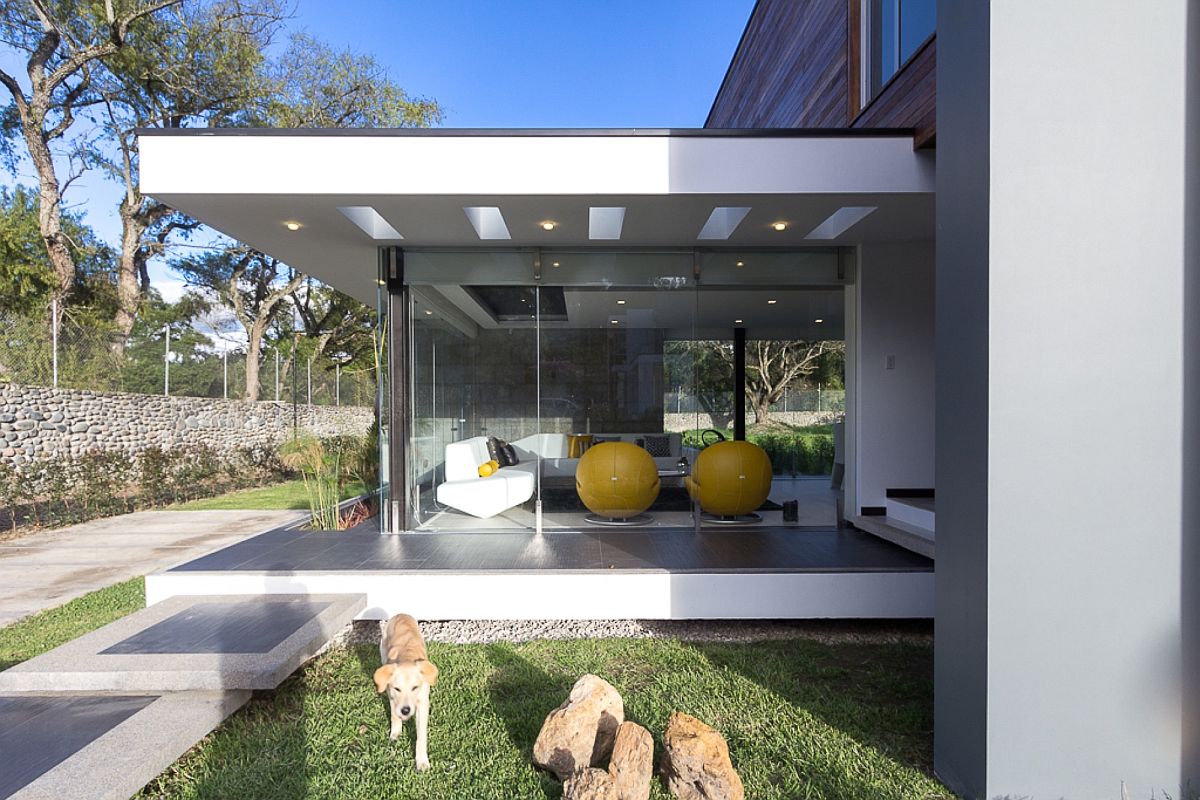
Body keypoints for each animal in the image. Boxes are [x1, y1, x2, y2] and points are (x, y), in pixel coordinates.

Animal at [372, 618, 439, 772]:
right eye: (397, 688)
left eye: (415, 687)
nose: (406, 710)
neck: (407, 656)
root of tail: (401, 614)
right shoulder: (392, 695)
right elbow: (394, 715)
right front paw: (395, 733)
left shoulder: (423, 703)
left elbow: (421, 736)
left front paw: (422, 761)